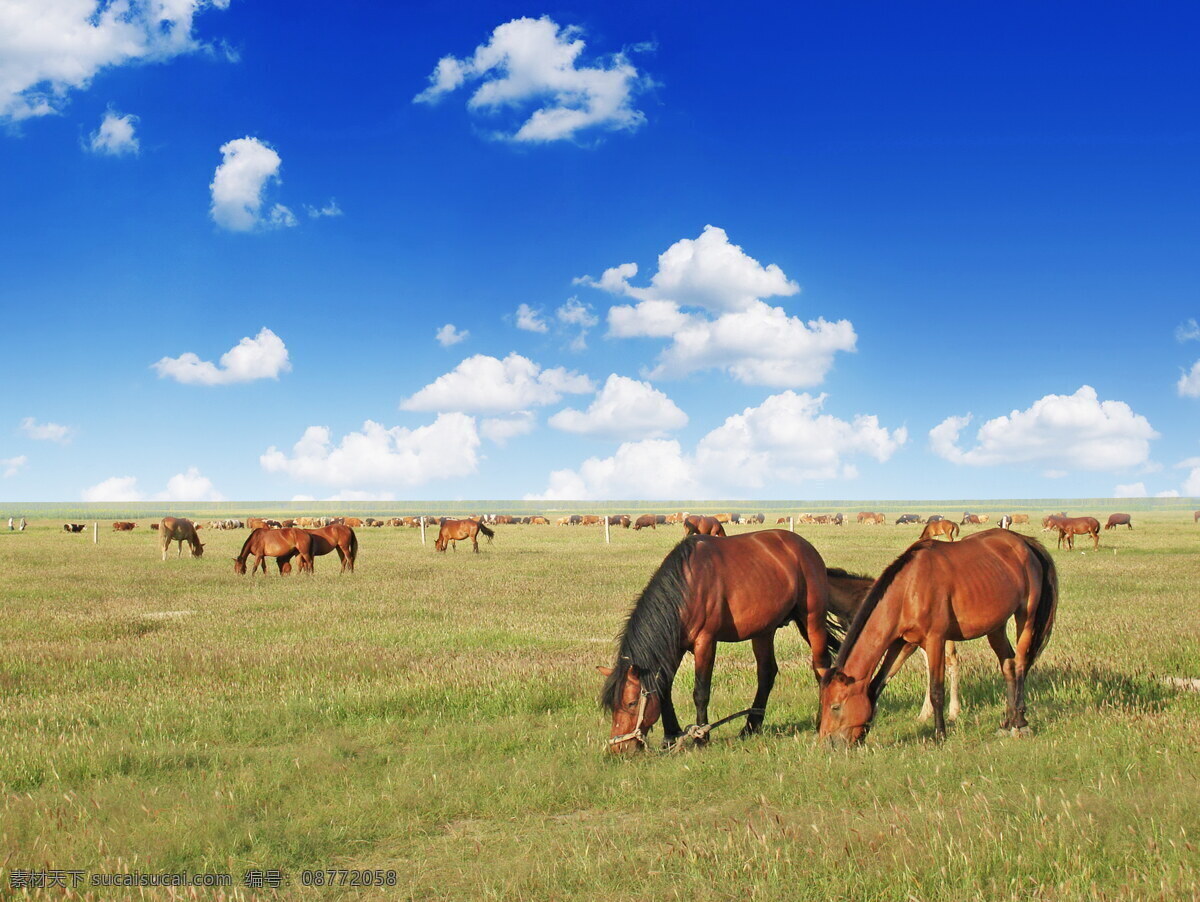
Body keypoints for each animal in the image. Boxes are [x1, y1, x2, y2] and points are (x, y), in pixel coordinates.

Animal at [597, 527, 835, 753]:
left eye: (631, 703)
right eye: (612, 705)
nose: (618, 748)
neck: (686, 588)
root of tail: (804, 546)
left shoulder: (705, 642)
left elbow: (701, 692)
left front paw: (701, 737)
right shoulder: (675, 646)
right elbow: (664, 689)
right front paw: (670, 737)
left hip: (812, 620)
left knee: (821, 668)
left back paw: (820, 720)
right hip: (763, 630)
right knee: (767, 673)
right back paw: (751, 726)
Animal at [816, 527, 1060, 748]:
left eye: (835, 706)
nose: (828, 744)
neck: (908, 589)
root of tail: (1024, 541)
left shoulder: (935, 640)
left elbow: (936, 690)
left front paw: (939, 735)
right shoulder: (902, 643)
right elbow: (877, 685)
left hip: (1026, 616)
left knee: (1019, 664)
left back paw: (1019, 722)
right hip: (996, 626)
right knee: (1008, 665)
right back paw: (1006, 723)